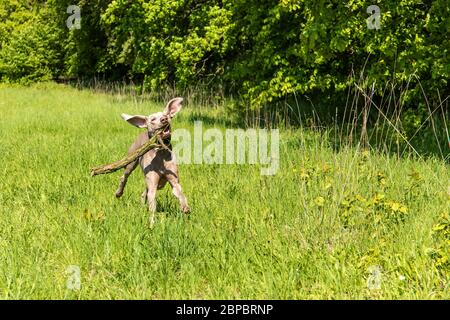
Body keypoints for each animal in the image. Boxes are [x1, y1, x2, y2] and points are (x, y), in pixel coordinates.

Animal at [116, 97, 190, 225]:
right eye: (152, 119)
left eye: (167, 115)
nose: (164, 119)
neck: (160, 155)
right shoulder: (152, 183)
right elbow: (152, 205)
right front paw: (151, 224)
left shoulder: (173, 180)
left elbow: (179, 192)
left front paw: (185, 206)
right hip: (131, 162)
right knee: (124, 177)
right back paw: (119, 193)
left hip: (157, 183)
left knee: (144, 193)